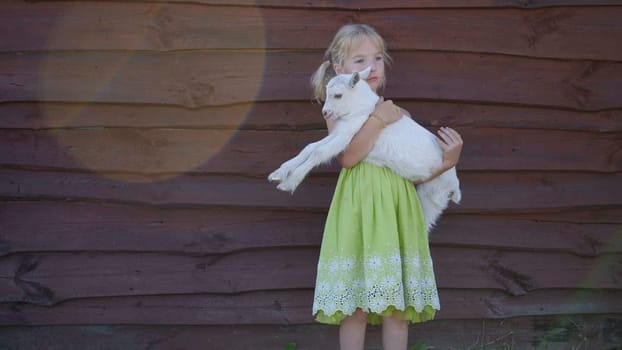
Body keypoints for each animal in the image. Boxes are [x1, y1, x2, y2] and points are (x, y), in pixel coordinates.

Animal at [270, 68, 464, 232]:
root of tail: (455, 185)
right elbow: (309, 148)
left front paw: (290, 182)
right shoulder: (340, 131)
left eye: (338, 95)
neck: (361, 109)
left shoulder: (347, 135)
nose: (325, 113)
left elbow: (319, 152)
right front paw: (279, 173)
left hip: (432, 195)